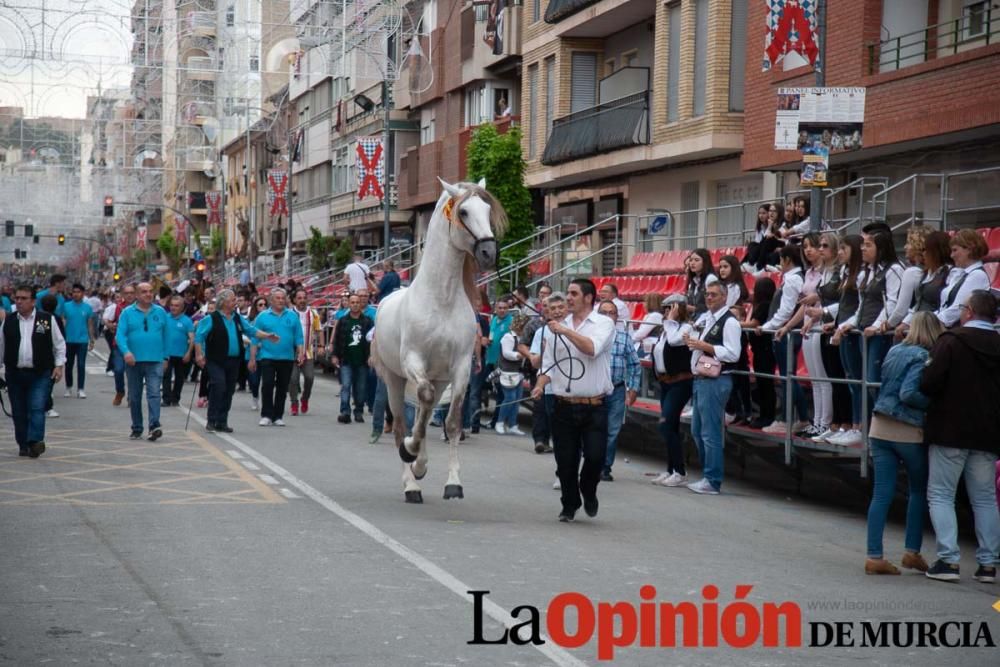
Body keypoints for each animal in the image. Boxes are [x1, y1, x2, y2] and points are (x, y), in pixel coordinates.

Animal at [372, 177, 504, 500]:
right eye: (464, 211)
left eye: (487, 209)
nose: (489, 253)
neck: (440, 300)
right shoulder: (413, 361)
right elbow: (418, 411)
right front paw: (411, 454)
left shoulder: (461, 369)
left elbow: (453, 422)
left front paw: (453, 483)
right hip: (394, 378)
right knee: (402, 422)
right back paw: (411, 481)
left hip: (439, 377)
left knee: (426, 408)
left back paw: (420, 465)